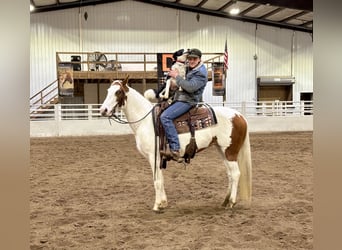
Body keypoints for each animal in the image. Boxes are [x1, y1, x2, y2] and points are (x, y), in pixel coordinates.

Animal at [100, 75, 252, 211]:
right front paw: (163, 203)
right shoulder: (158, 158)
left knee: (236, 174)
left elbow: (157, 181)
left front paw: (157, 205)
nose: (103, 110)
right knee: (230, 174)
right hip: (222, 150)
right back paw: (225, 201)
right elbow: (161, 180)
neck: (146, 121)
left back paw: (231, 202)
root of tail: (239, 115)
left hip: (230, 151)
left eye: (118, 92)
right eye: (107, 91)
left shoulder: (153, 156)